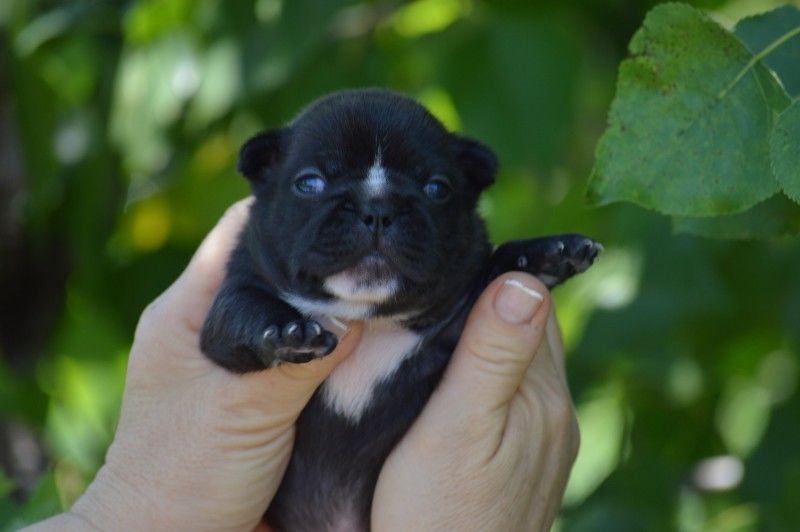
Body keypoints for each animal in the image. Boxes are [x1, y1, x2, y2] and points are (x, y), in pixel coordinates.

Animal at [200, 89, 600, 528]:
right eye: (309, 183)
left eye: (437, 188)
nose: (377, 207)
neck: (369, 317)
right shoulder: (234, 293)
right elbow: (240, 308)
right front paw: (288, 331)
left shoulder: (451, 323)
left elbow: (493, 271)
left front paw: (549, 253)